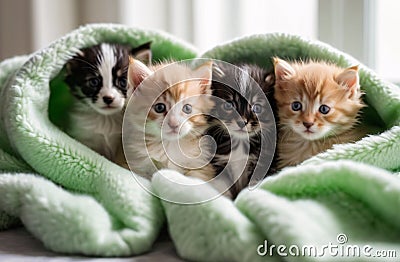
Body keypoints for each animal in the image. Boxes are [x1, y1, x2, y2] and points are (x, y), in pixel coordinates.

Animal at [205, 62, 276, 198]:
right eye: (229, 105)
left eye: (256, 108)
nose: (242, 122)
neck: (241, 142)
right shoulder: (219, 163)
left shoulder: (261, 162)